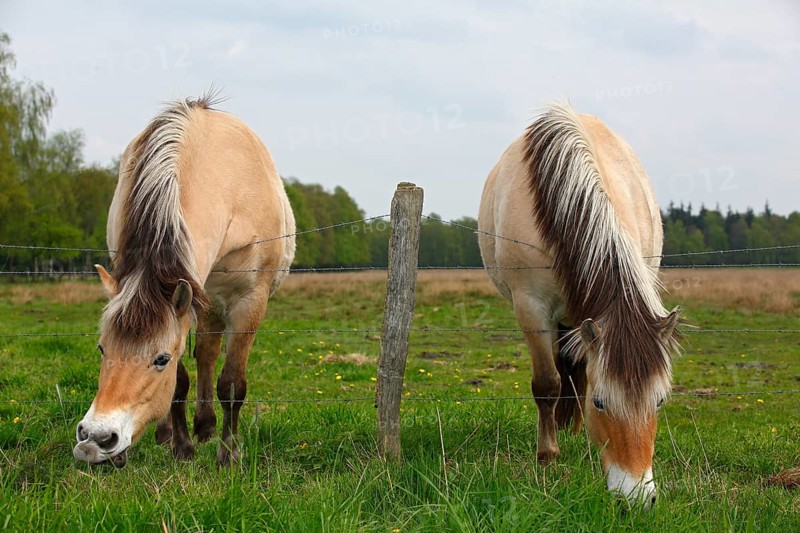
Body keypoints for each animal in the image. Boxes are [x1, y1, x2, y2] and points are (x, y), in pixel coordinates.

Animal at [73, 94, 296, 467]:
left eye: (160, 358)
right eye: (102, 348)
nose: (96, 439)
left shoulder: (249, 301)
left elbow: (231, 384)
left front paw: (228, 455)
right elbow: (179, 383)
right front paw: (182, 446)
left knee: (209, 353)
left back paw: (207, 428)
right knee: (205, 354)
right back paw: (180, 430)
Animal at [478, 102, 681, 507]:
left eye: (660, 401)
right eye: (601, 403)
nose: (636, 498)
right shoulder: (531, 307)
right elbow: (546, 383)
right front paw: (547, 455)